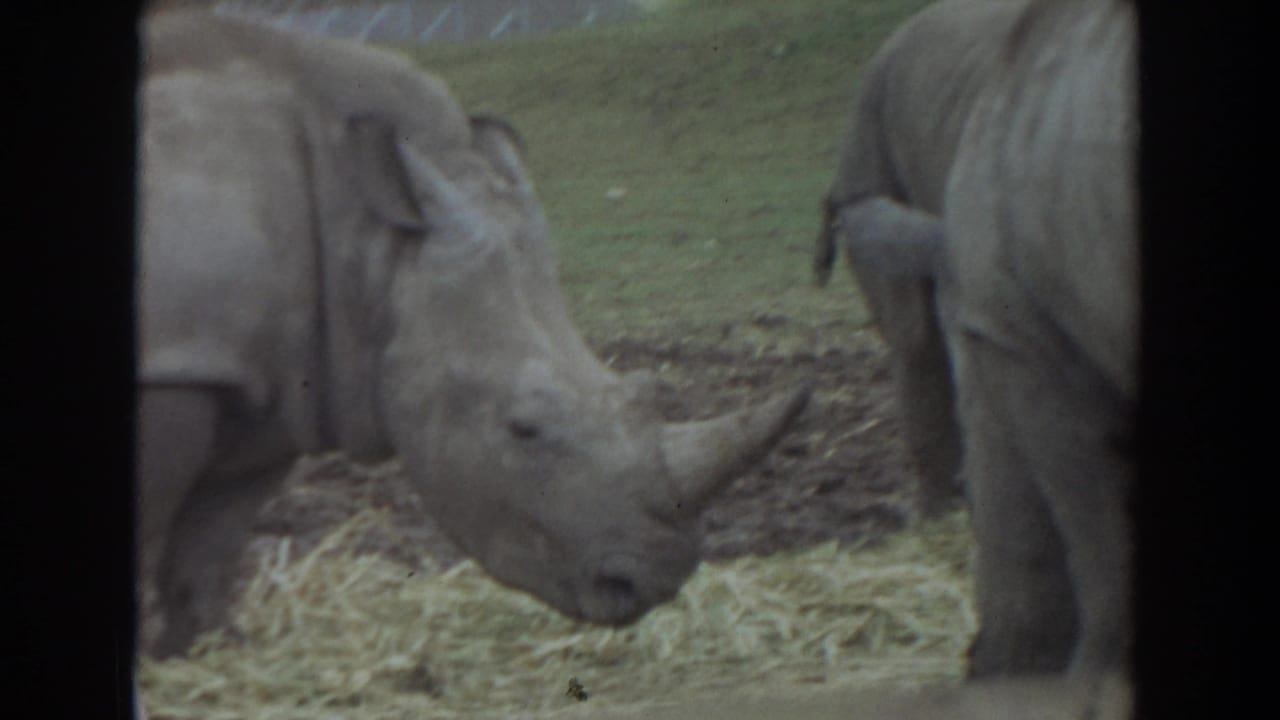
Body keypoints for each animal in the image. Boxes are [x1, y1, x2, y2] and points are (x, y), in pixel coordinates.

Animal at [137, 8, 810, 657]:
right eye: (523, 428)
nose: (653, 581)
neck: (374, 243)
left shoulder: (270, 374)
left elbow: (215, 534)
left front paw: (208, 647)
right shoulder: (175, 360)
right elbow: (154, 524)